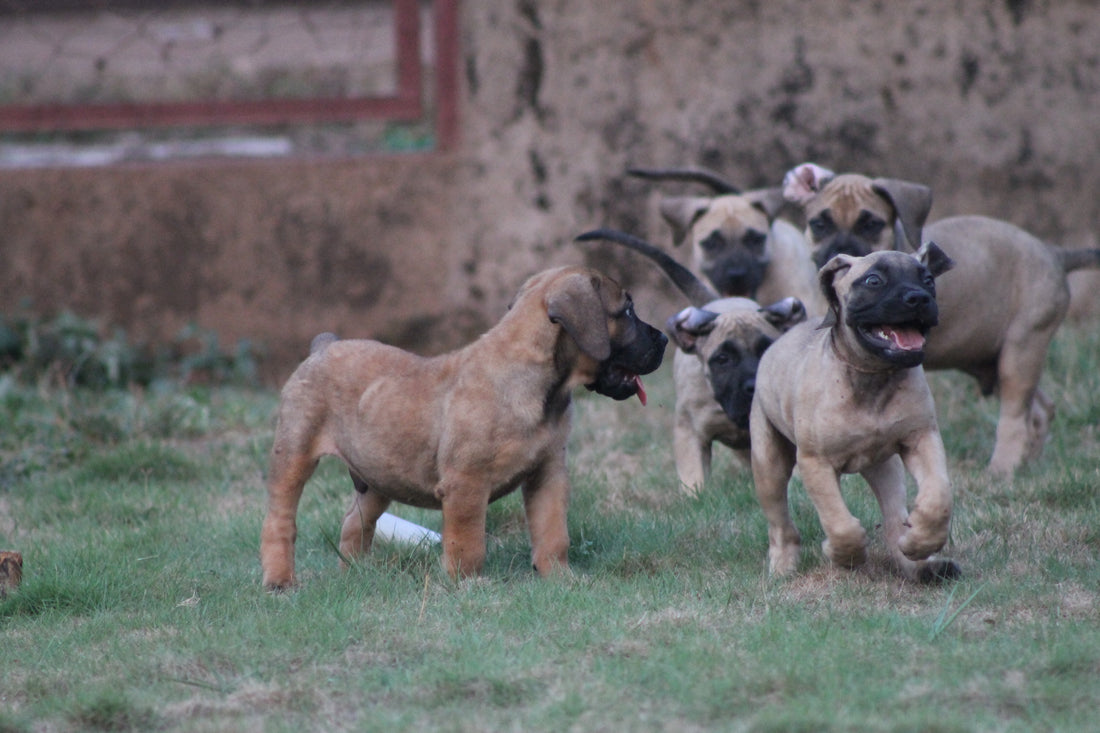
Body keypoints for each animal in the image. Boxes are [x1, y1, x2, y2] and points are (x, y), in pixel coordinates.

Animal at [260, 264, 664, 589]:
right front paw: (467, 584)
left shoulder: (548, 473)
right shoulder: (467, 484)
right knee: (280, 522)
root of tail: (322, 348)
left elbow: (553, 533)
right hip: (294, 454)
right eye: (627, 311)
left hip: (379, 475)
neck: (541, 385)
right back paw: (280, 581)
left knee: (354, 524)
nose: (663, 338)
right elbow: (468, 542)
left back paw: (357, 575)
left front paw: (560, 577)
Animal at [748, 242, 963, 581]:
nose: (918, 298)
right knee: (780, 522)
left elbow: (938, 495)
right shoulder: (816, 463)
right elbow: (839, 522)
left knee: (893, 520)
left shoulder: (921, 439)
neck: (871, 375)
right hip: (769, 466)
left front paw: (923, 540)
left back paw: (919, 564)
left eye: (928, 279)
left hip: (885, 467)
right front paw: (844, 554)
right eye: (874, 281)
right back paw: (783, 564)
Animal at [783, 161, 1100, 473]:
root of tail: (1053, 252)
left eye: (871, 224)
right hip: (996, 358)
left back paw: (1002, 468)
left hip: (1021, 352)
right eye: (819, 224)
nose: (841, 253)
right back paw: (1027, 463)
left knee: (1014, 415)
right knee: (1038, 410)